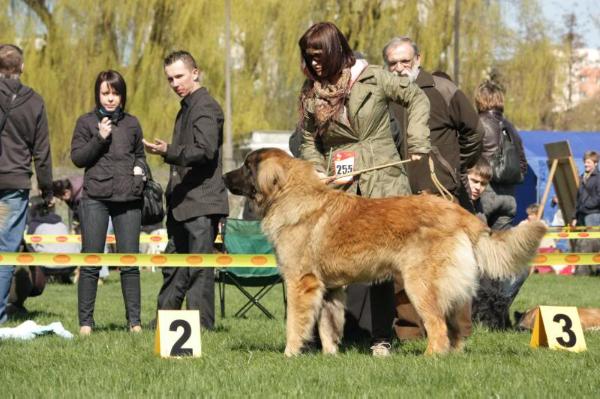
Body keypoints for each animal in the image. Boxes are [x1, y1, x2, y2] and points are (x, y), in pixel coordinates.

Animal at [223, 149, 548, 356]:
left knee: (438, 327)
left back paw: (430, 357)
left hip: (420, 284)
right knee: (455, 326)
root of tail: (458, 212)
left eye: (246, 167)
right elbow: (328, 325)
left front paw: (290, 353)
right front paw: (330, 355)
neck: (289, 194)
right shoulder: (329, 287)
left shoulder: (301, 282)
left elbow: (295, 323)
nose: (224, 176)